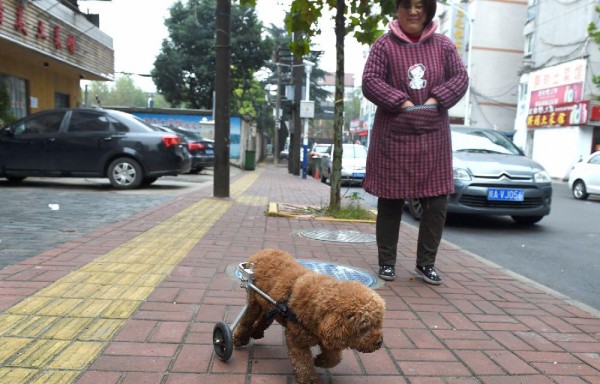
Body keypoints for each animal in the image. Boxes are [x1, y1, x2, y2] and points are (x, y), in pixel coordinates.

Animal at [231, 249, 384, 384]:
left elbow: (334, 358)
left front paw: (319, 361)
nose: (379, 342)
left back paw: (256, 332)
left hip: (270, 305)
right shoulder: (298, 341)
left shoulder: (327, 336)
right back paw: (239, 338)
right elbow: (303, 365)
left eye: (378, 323)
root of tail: (261, 252)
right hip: (254, 302)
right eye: (364, 326)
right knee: (246, 320)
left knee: (264, 318)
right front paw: (310, 379)